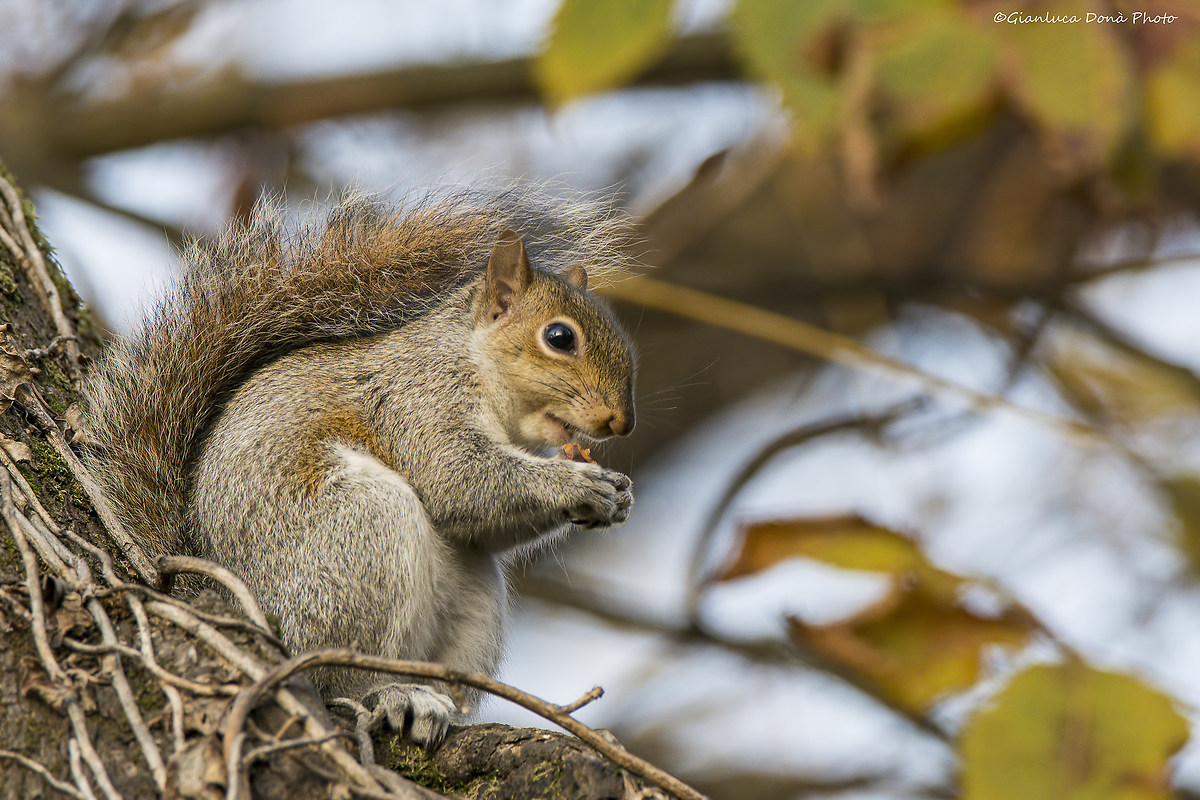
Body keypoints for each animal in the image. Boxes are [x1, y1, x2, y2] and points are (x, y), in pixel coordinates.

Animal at [83, 190, 637, 746]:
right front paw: (577, 485)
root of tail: (222, 597)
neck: (474, 362)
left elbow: (484, 524)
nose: (622, 422)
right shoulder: (418, 399)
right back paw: (394, 693)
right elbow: (457, 480)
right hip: (360, 534)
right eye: (559, 337)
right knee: (331, 678)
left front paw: (618, 493)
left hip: (469, 596)